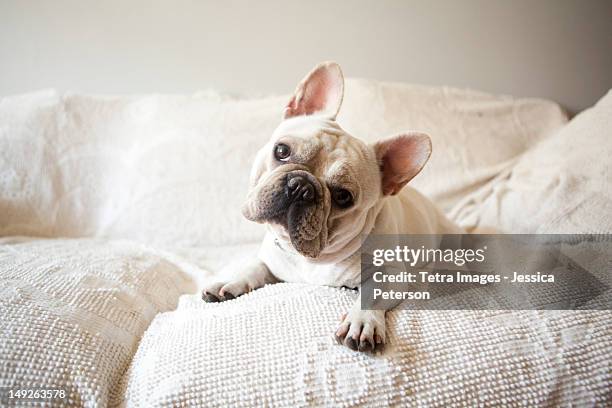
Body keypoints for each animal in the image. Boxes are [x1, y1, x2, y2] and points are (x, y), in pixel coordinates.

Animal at [203, 62, 462, 352]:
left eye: (343, 196)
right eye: (281, 151)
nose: (300, 186)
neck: (310, 257)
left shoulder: (390, 273)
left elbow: (370, 295)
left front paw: (362, 321)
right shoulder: (271, 258)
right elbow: (254, 266)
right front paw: (231, 279)